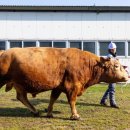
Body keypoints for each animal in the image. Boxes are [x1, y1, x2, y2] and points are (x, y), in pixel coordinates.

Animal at [0, 47, 128, 120]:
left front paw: (49, 113)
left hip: (19, 84)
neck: (87, 64)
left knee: (22, 97)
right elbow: (72, 101)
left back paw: (35, 111)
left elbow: (53, 99)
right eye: (117, 66)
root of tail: (4, 52)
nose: (127, 76)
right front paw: (75, 116)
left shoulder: (58, 87)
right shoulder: (73, 86)